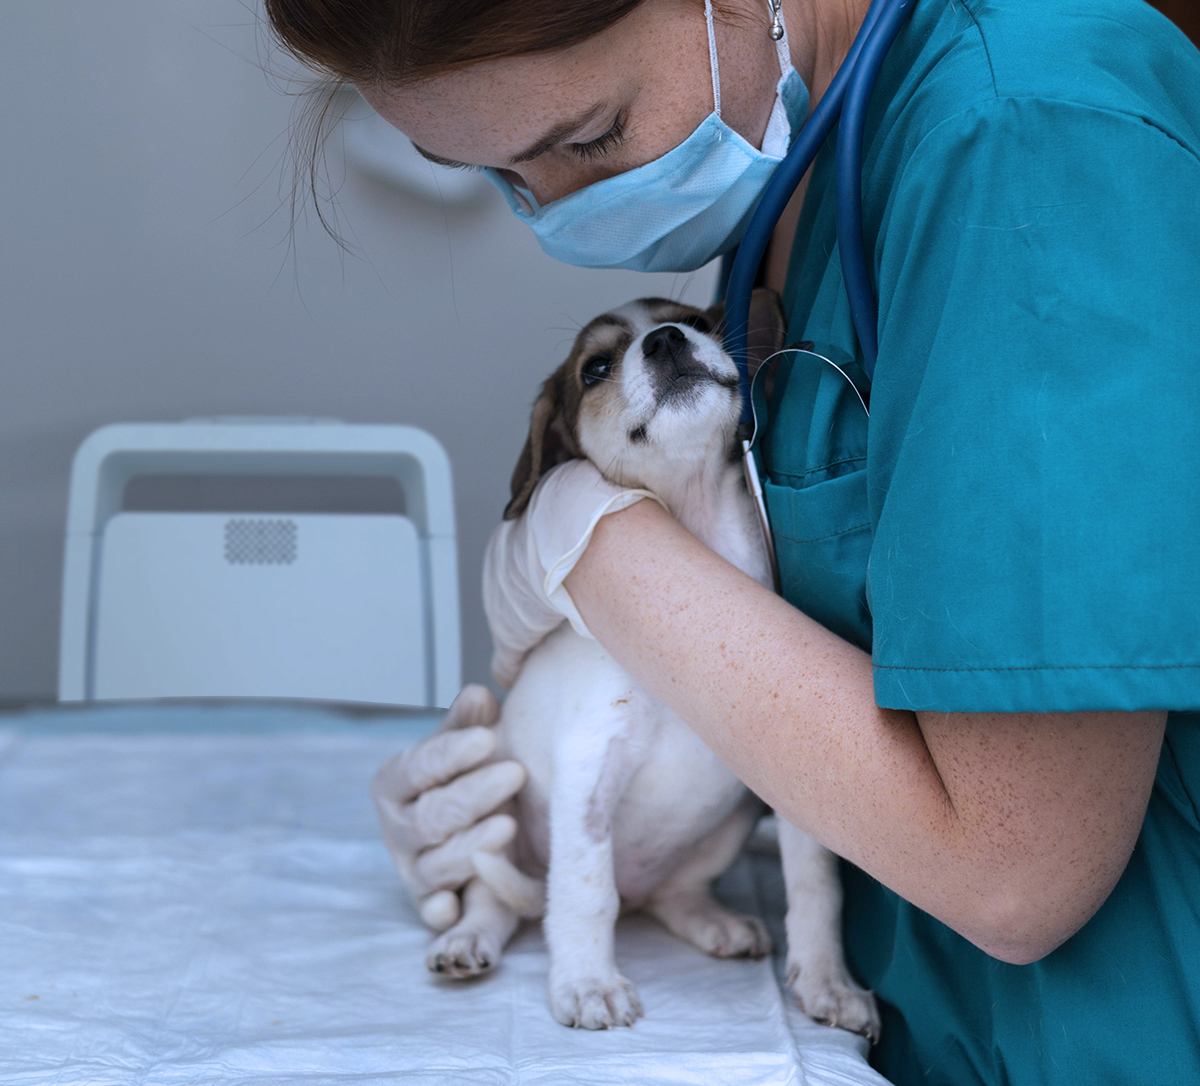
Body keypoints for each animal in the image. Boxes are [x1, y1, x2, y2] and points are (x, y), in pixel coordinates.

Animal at [427, 292, 878, 1036]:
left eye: (693, 320)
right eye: (595, 368)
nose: (666, 341)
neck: (703, 546)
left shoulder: (797, 785)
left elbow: (816, 886)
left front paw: (827, 981)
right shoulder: (590, 765)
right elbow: (585, 894)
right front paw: (587, 983)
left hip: (724, 828)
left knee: (671, 893)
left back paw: (714, 922)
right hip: (499, 818)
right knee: (503, 898)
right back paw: (467, 940)